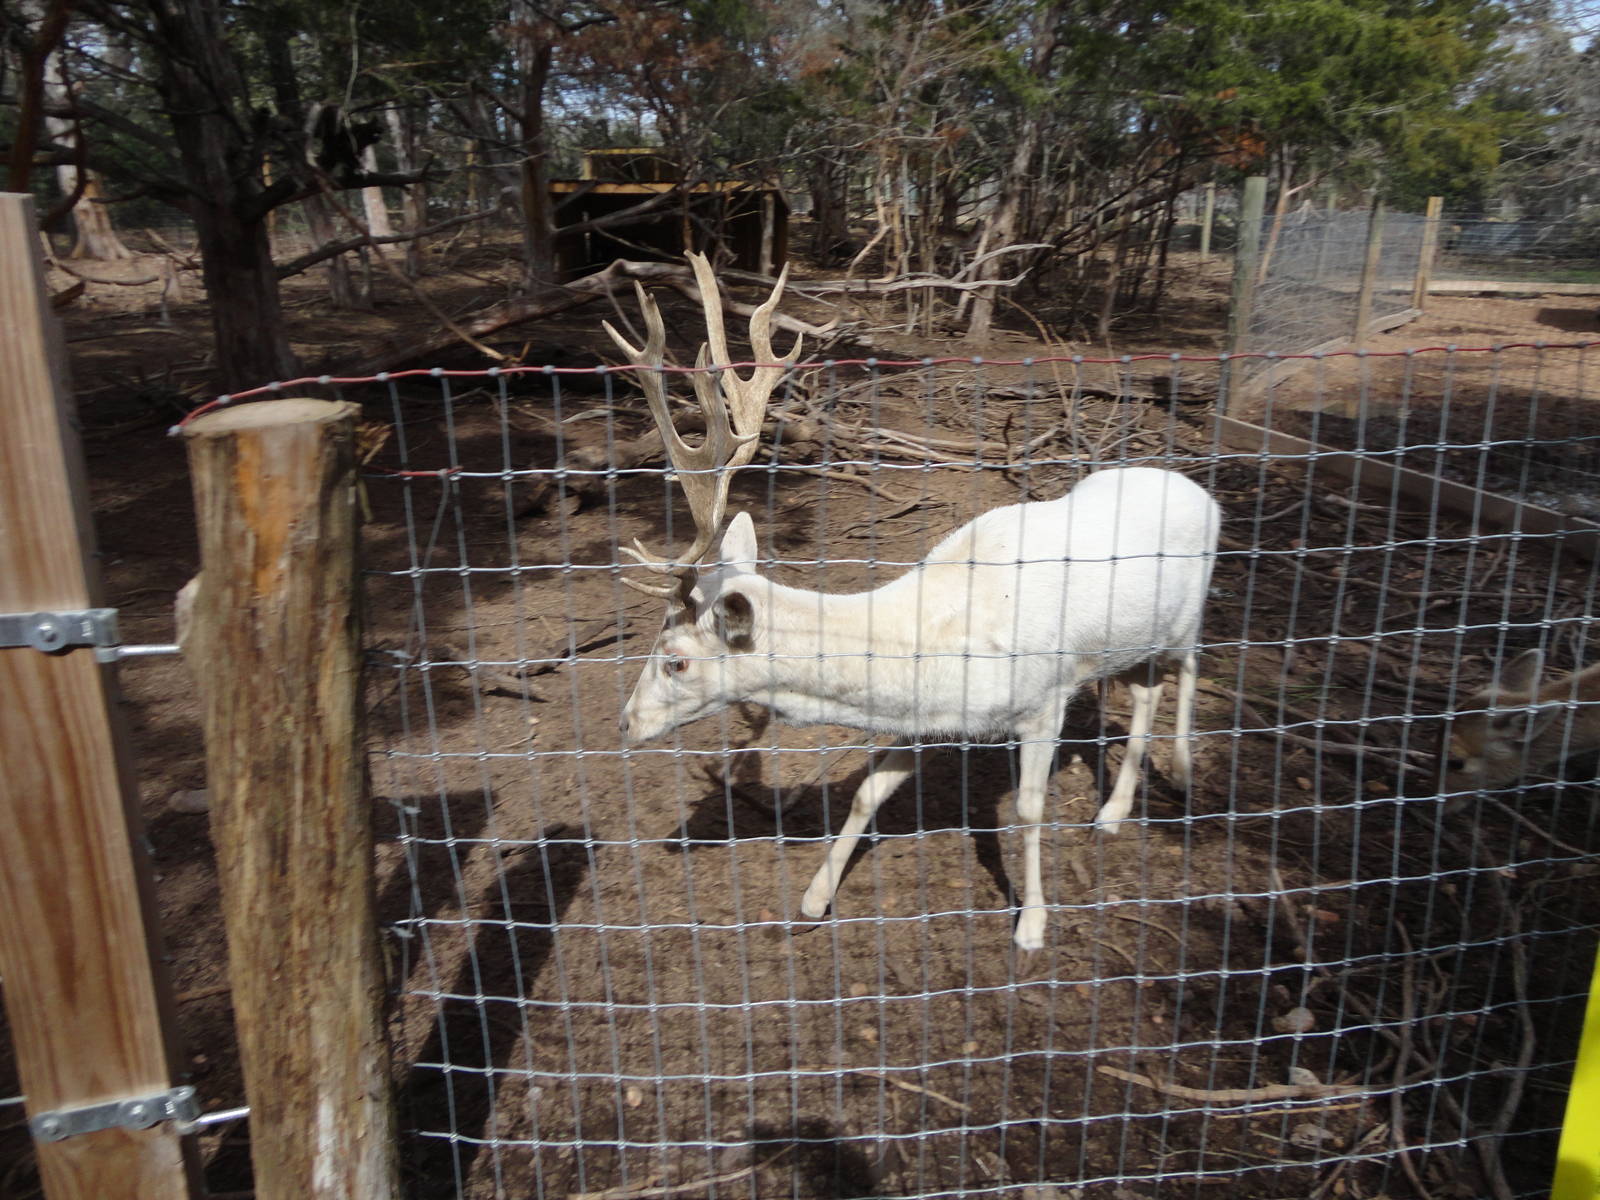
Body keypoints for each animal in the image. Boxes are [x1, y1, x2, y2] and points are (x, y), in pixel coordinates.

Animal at [607, 253, 1221, 951]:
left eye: (676, 659)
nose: (625, 722)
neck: (938, 641)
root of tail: (1201, 492)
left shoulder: (1044, 698)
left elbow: (1029, 808)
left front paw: (1032, 925)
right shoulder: (927, 717)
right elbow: (868, 791)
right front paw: (814, 898)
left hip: (1189, 612)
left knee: (1190, 668)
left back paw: (1181, 775)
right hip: (1133, 640)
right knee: (1146, 688)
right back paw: (1114, 810)